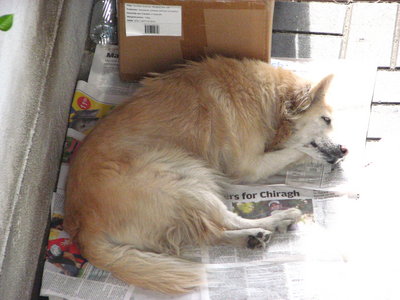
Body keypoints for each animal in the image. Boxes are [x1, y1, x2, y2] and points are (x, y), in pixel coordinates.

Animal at [65, 56, 346, 292]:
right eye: (326, 120)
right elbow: (295, 151)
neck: (271, 102)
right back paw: (278, 219)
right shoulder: (251, 166)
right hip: (186, 177)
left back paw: (251, 238)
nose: (345, 150)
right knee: (226, 220)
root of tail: (83, 228)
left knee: (210, 232)